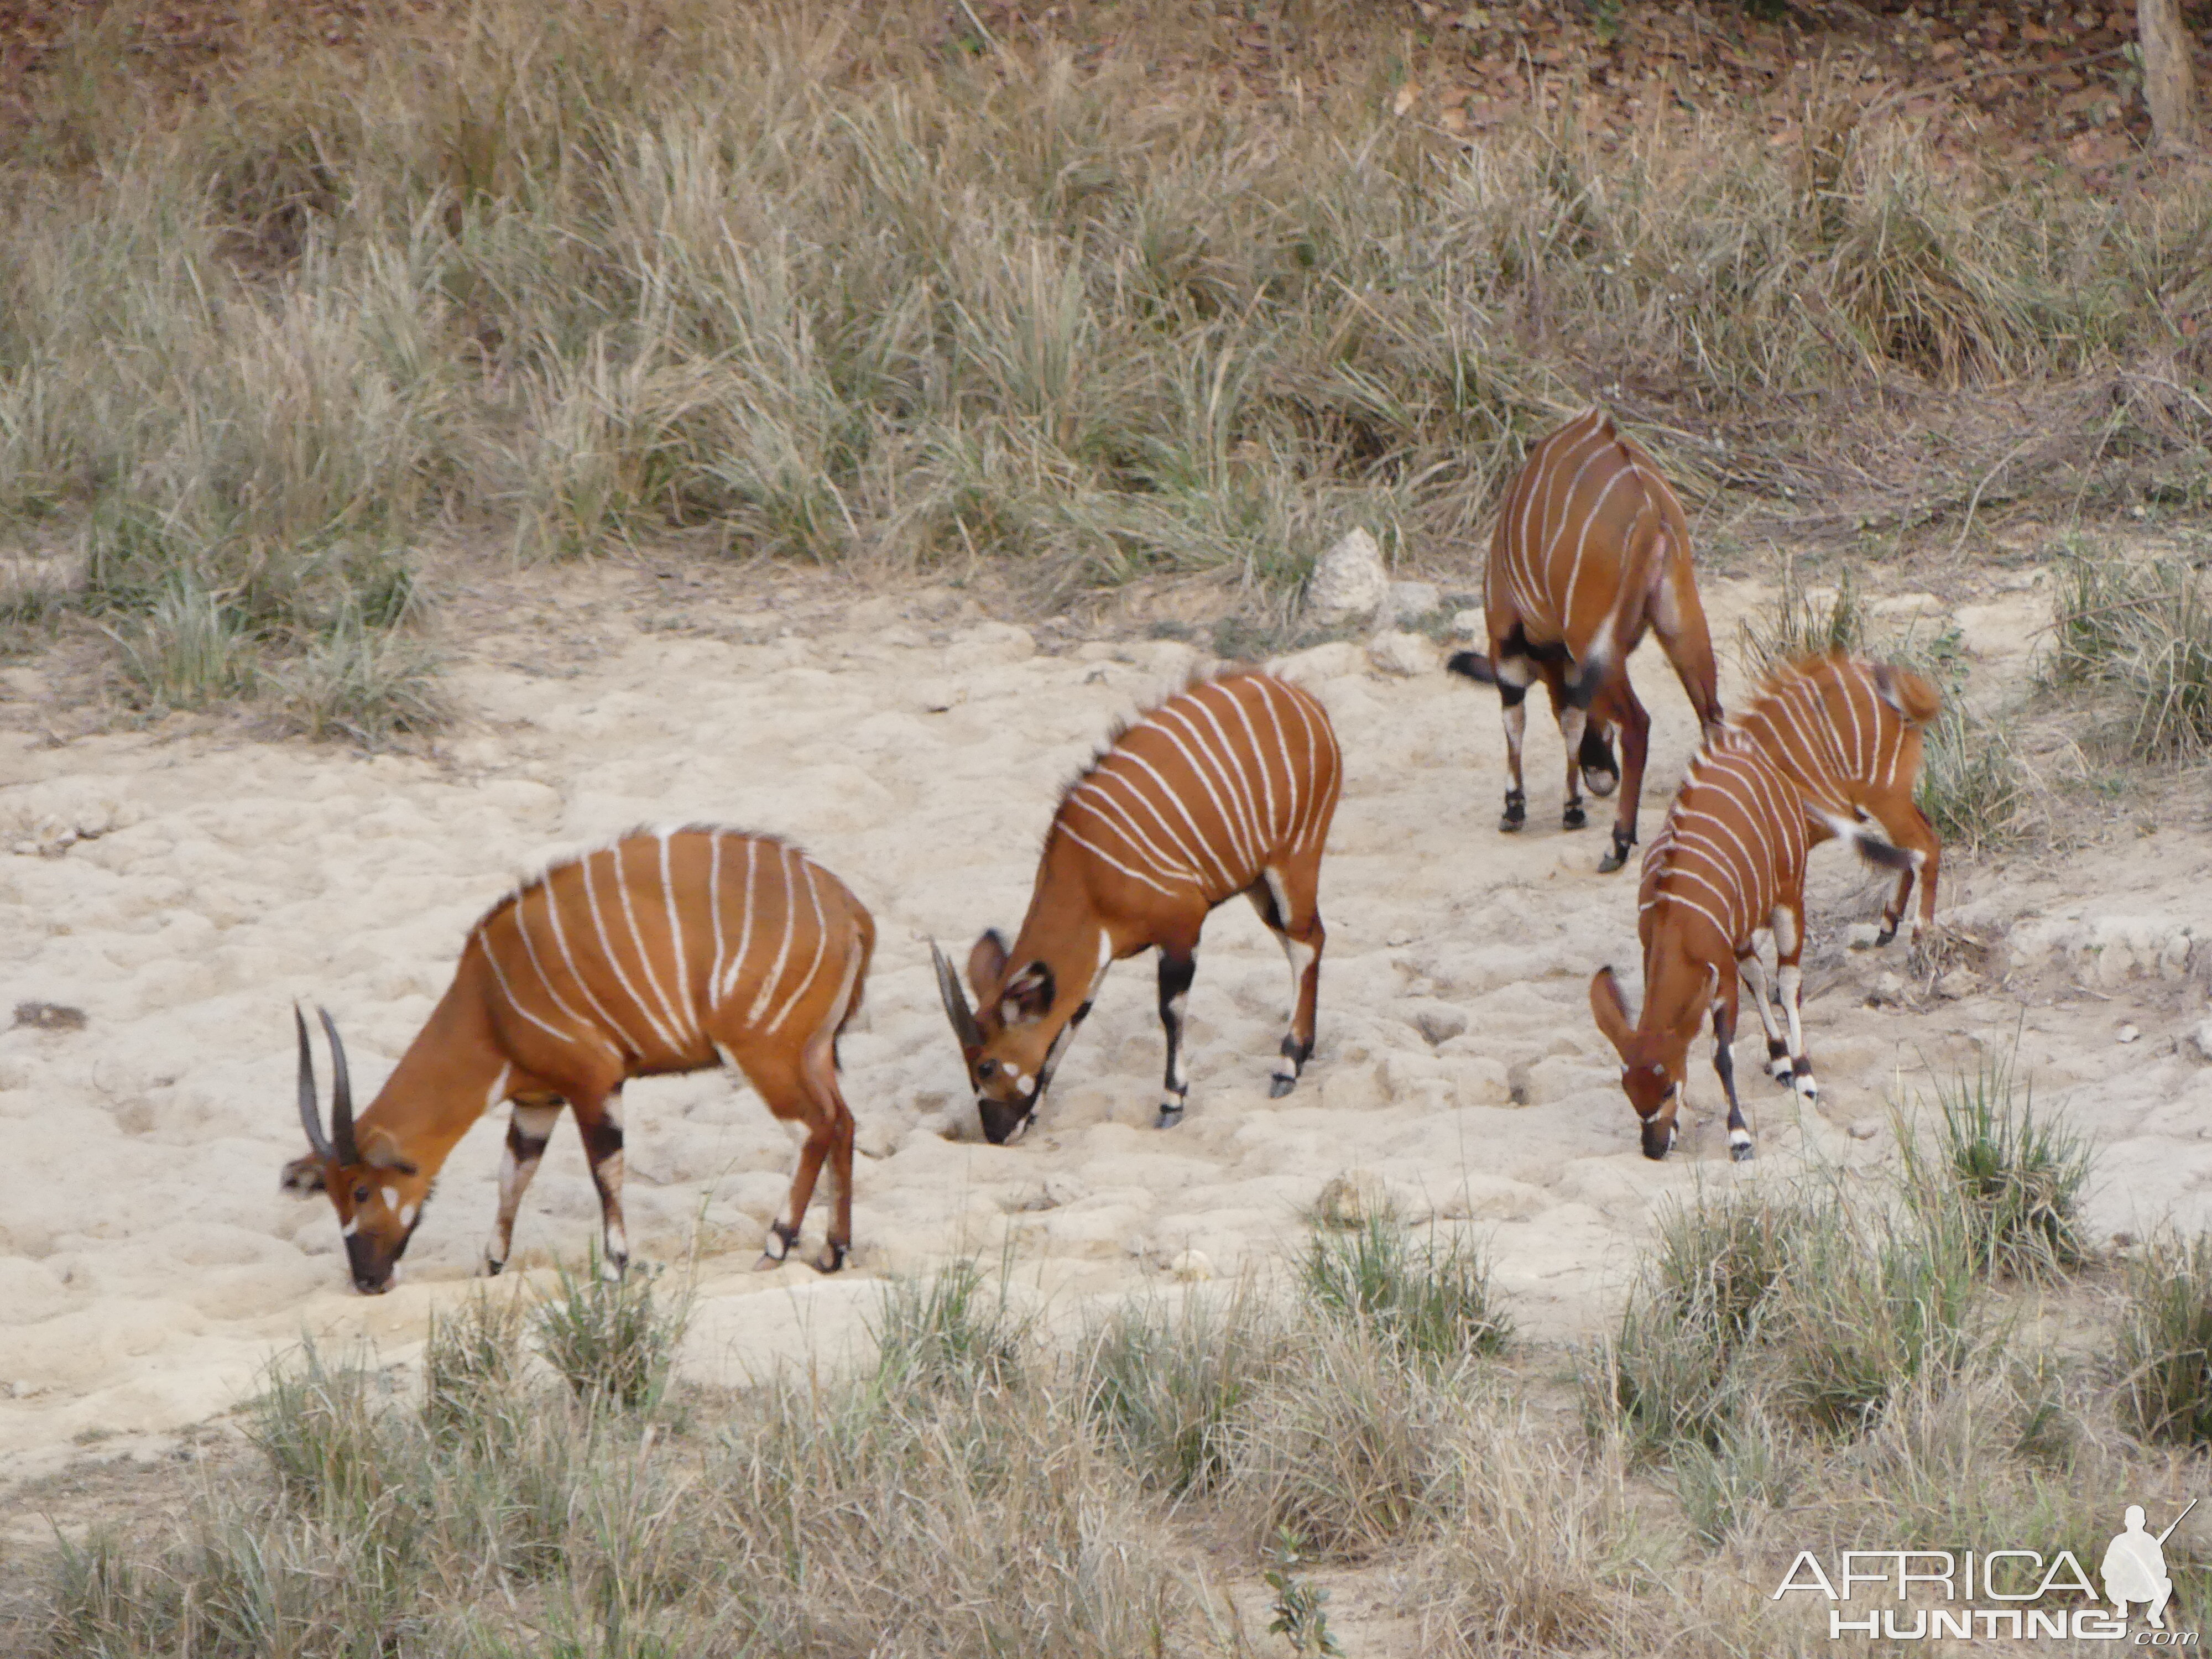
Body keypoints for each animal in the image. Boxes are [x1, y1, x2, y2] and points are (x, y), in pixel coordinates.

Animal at [290, 832, 876, 1301]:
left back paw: (776, 1245)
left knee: (814, 1126)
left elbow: (604, 1170)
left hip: (764, 1051)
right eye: (332, 1194)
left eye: (361, 1190)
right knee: (844, 1122)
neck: (489, 1003)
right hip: (813, 1053)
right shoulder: (537, 1101)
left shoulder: (593, 1083)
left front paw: (615, 1266)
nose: (368, 1280)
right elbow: (513, 1175)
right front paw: (490, 1264)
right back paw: (833, 1251)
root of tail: (849, 908)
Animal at [929, 668, 1336, 1150]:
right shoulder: (1101, 959)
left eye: (986, 1066)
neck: (1087, 876)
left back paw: (1286, 1066)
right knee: (1305, 940)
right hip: (1259, 882)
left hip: (1294, 859)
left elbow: (1170, 1011)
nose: (995, 1134)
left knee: (1306, 941)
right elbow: (1072, 1020)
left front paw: (1172, 1102)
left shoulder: (1181, 927)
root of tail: (1305, 700)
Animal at [1451, 409, 1725, 876]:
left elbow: (1526, 717)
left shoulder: (1506, 638)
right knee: (1712, 715)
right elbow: (1572, 716)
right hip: (1679, 621)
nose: (1602, 779)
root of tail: (1651, 509)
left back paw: (1618, 844)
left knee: (1639, 722)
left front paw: (1519, 809)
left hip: (1592, 640)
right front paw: (1573, 807)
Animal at [1584, 734, 1911, 1159]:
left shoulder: (1721, 976)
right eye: (1629, 1091)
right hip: (1745, 934)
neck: (1675, 920)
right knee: (1758, 977)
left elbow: (1722, 1055)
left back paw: (1803, 1074)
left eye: (1669, 1086)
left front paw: (1739, 1137)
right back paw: (1782, 1061)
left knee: (1788, 982)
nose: (1653, 1148)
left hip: (1789, 900)